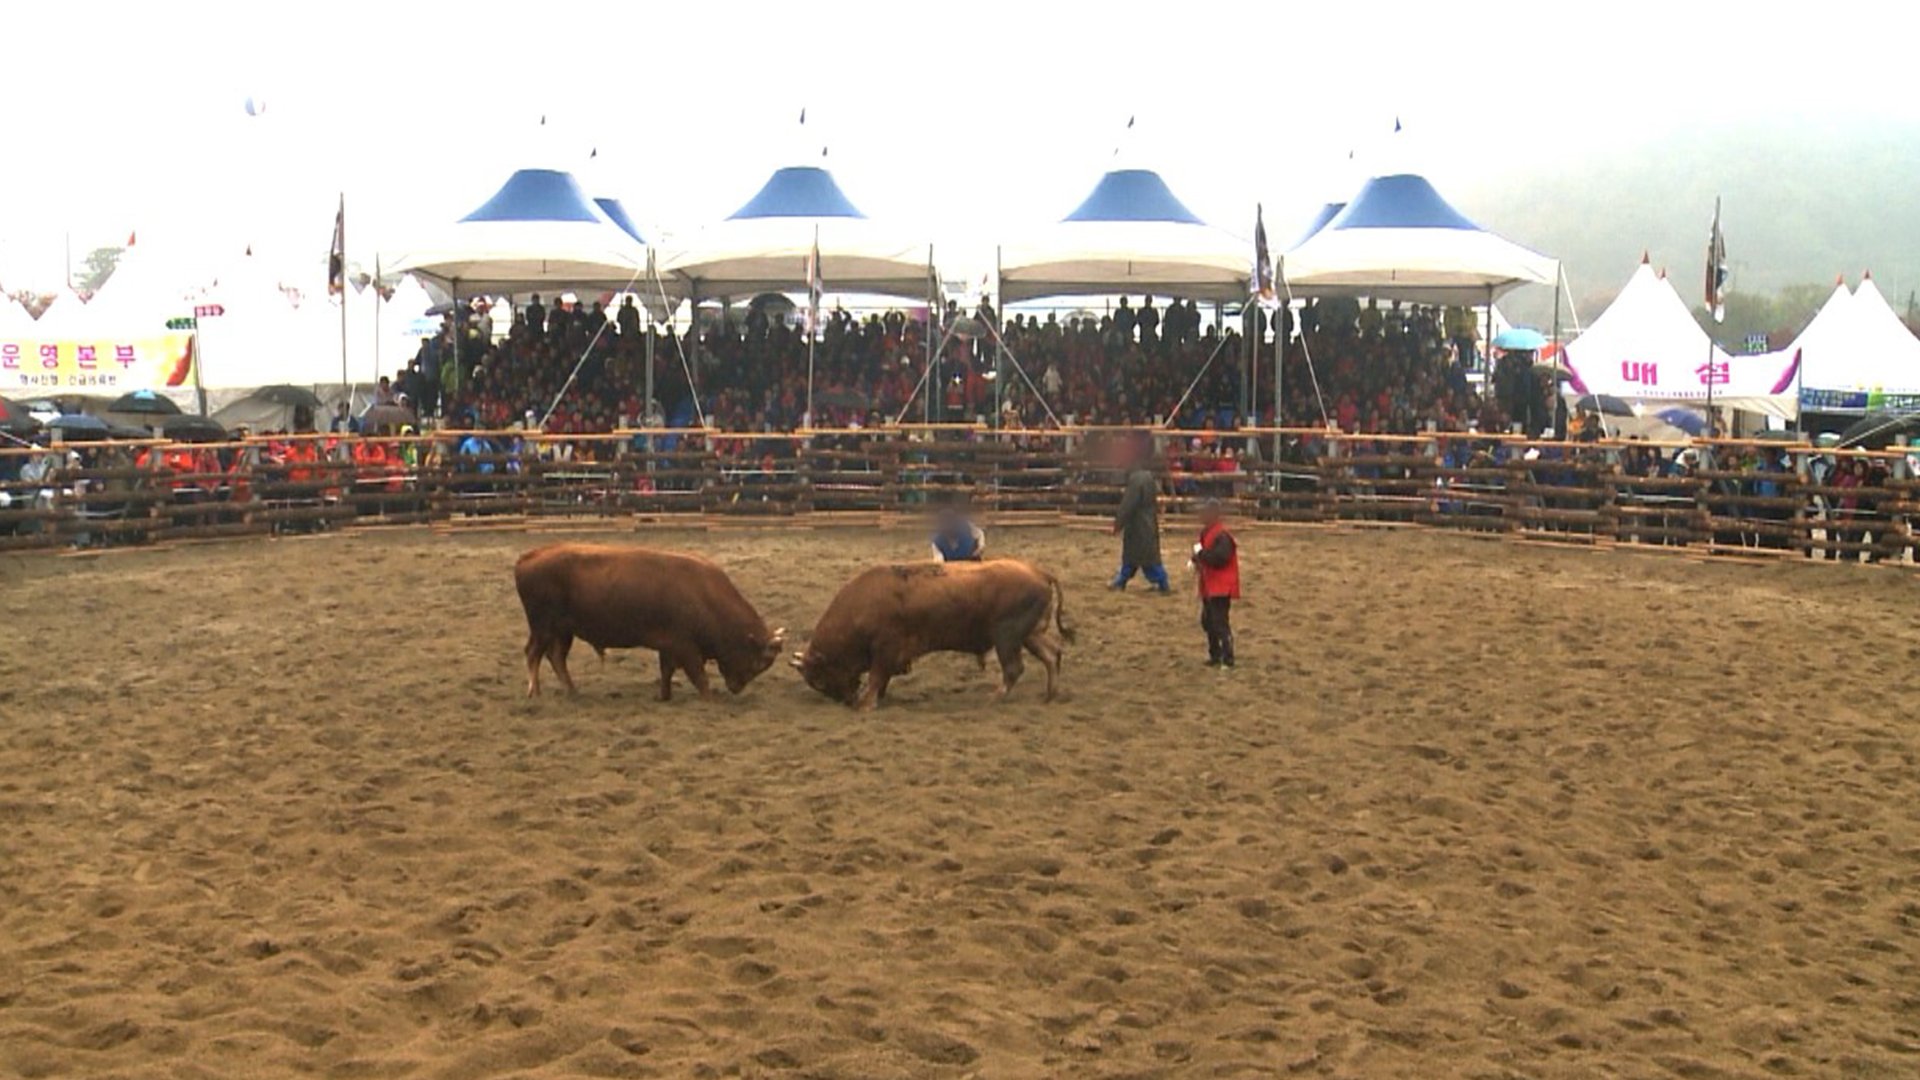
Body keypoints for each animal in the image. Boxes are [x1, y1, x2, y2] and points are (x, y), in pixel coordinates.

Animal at [514, 538, 783, 699]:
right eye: (759, 663)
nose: (736, 688)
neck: (704, 595)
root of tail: (529, 557)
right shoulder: (685, 647)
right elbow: (699, 677)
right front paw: (708, 699)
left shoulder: (669, 646)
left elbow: (666, 672)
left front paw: (664, 697)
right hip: (543, 627)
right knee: (534, 653)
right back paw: (535, 692)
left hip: (562, 631)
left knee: (555, 657)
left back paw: (571, 691)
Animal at [787, 553, 1075, 707]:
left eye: (819, 680)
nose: (845, 701)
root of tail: (1039, 572)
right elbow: (883, 678)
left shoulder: (885, 649)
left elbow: (877, 676)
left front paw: (866, 703)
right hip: (1030, 635)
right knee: (1052, 655)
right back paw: (1050, 694)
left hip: (1007, 636)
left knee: (1014, 669)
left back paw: (996, 697)